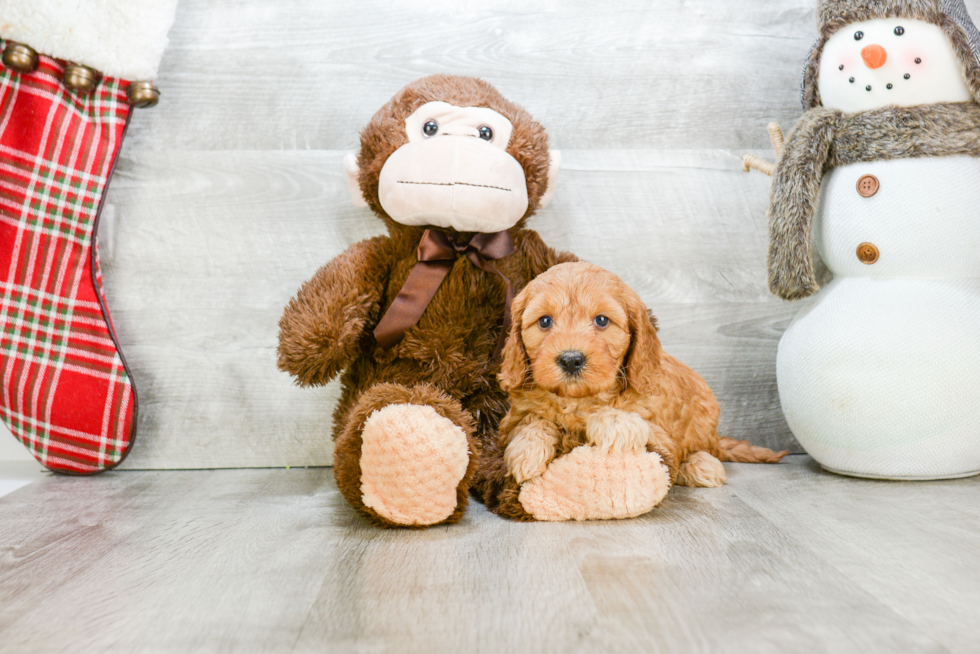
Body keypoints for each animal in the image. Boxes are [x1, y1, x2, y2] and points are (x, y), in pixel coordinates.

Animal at [494, 264, 784, 520]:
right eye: (544, 321)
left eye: (601, 320)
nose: (571, 360)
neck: (578, 399)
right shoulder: (513, 417)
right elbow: (533, 420)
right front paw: (527, 451)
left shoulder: (660, 430)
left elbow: (631, 423)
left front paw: (613, 423)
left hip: (704, 421)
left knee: (706, 450)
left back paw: (702, 465)